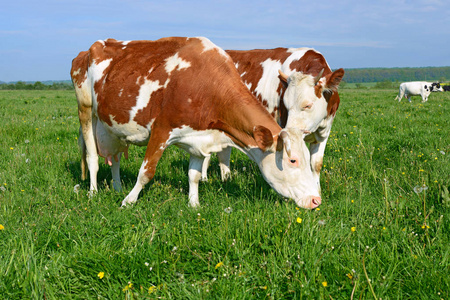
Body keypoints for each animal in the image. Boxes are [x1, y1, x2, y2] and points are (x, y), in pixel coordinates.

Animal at [70, 37, 322, 209]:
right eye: (292, 160)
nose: (316, 200)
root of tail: (91, 48)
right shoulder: (161, 130)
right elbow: (146, 172)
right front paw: (128, 201)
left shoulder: (199, 138)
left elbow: (194, 175)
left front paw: (194, 205)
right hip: (86, 110)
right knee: (92, 157)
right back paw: (93, 191)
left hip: (111, 126)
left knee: (115, 158)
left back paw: (117, 186)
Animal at [201, 47, 344, 192]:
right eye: (285, 105)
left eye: (307, 105)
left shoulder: (324, 132)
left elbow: (316, 164)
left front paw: (316, 189)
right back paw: (204, 179)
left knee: (223, 151)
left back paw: (226, 179)